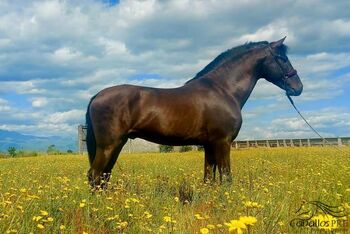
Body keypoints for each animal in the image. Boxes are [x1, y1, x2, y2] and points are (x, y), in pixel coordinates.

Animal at [86, 38, 302, 188]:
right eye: (282, 59)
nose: (298, 87)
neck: (223, 89)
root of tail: (97, 95)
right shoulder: (222, 142)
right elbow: (226, 177)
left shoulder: (209, 145)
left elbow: (209, 178)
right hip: (108, 145)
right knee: (94, 175)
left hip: (117, 144)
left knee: (103, 176)